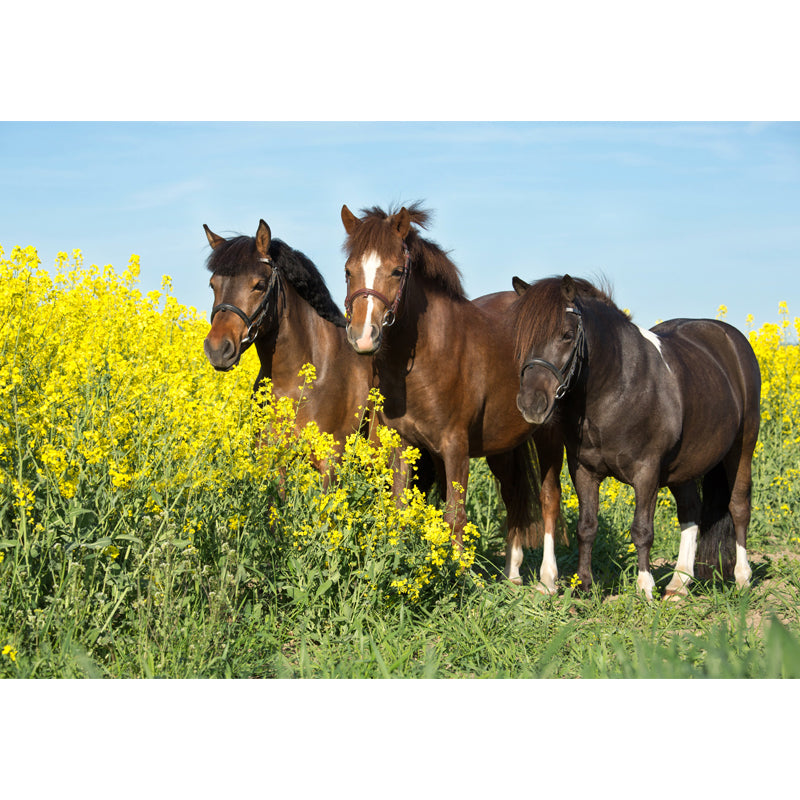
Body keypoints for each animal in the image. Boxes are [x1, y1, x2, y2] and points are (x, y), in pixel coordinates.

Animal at [340, 203, 565, 590]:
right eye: (348, 271)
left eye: (397, 271)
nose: (363, 337)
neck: (429, 355)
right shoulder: (404, 444)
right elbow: (401, 507)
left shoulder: (455, 446)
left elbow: (455, 514)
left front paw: (458, 578)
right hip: (503, 445)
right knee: (514, 497)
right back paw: (513, 574)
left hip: (549, 436)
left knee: (548, 498)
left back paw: (547, 580)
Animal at [511, 274, 761, 599]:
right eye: (521, 338)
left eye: (567, 335)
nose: (531, 404)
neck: (618, 386)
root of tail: (732, 340)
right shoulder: (584, 471)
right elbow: (586, 527)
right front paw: (584, 586)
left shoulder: (647, 472)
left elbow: (642, 530)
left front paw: (644, 587)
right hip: (684, 466)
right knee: (690, 512)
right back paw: (679, 585)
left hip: (742, 447)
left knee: (739, 506)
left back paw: (742, 578)